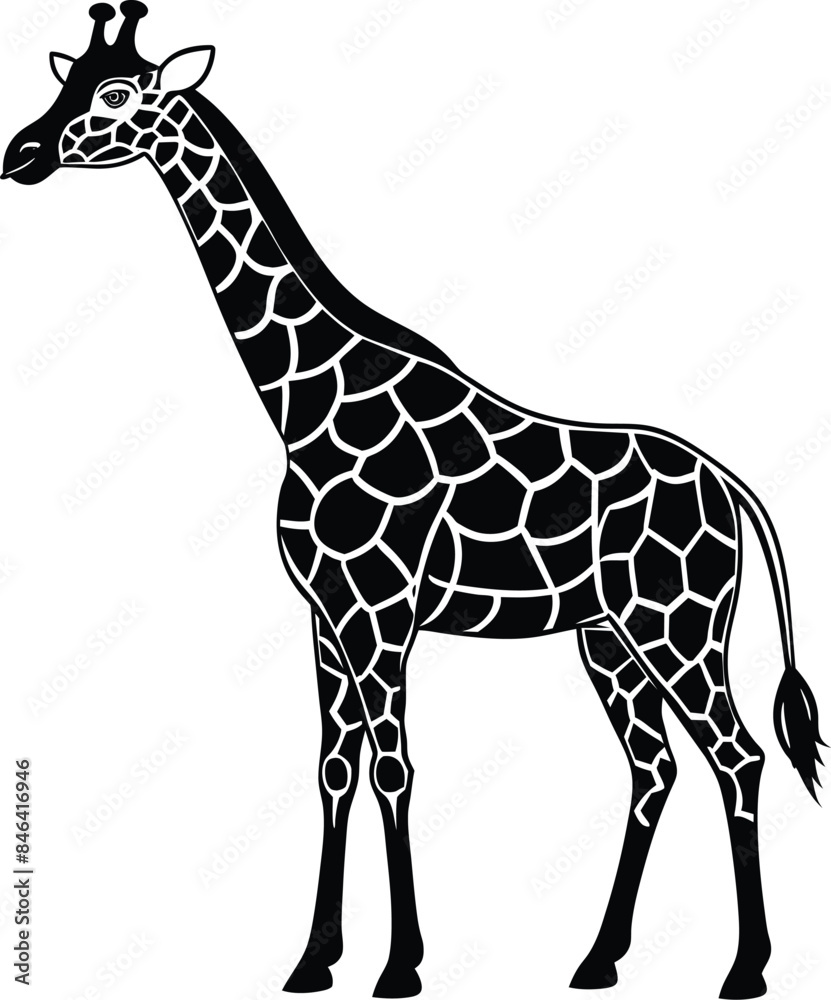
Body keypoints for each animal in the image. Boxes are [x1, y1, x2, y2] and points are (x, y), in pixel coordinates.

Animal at [2, 6, 824, 999]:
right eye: (68, 81)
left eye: (119, 93)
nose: (20, 153)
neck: (304, 402)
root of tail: (728, 483)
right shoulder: (325, 614)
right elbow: (332, 767)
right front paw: (312, 960)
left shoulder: (383, 614)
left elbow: (394, 767)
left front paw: (399, 967)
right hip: (607, 637)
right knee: (653, 766)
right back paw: (598, 959)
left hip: (678, 623)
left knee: (735, 756)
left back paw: (744, 970)